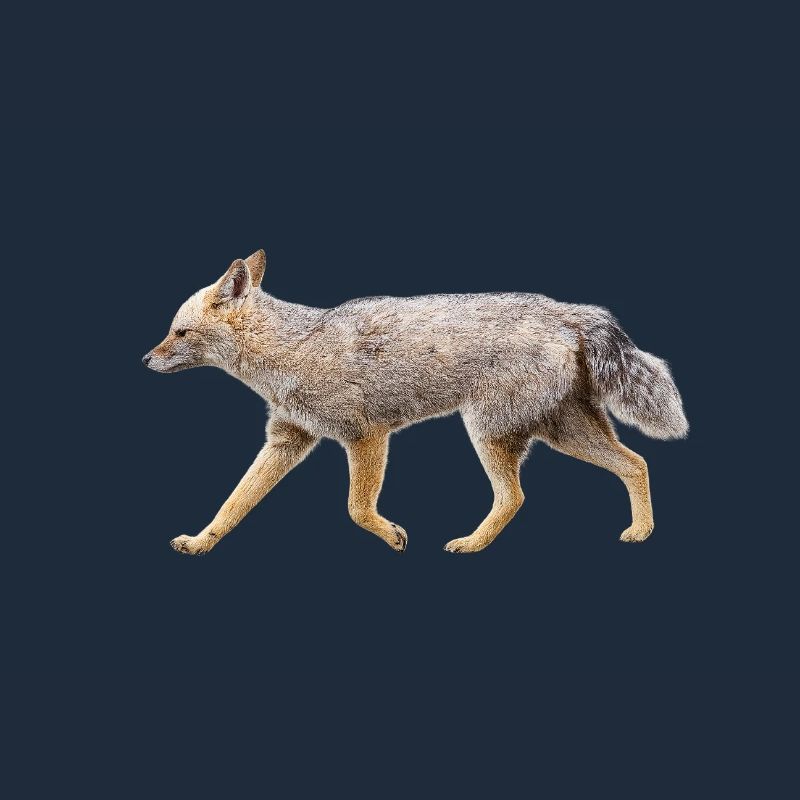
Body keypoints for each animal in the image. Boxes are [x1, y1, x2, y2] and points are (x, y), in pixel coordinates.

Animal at [143, 250, 687, 556]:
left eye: (179, 333)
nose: (145, 358)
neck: (292, 347)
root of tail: (567, 311)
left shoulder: (366, 436)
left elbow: (355, 509)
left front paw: (391, 535)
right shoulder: (286, 440)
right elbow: (232, 504)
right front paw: (201, 542)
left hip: (487, 432)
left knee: (515, 496)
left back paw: (471, 544)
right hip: (561, 433)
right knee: (635, 463)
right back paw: (642, 531)